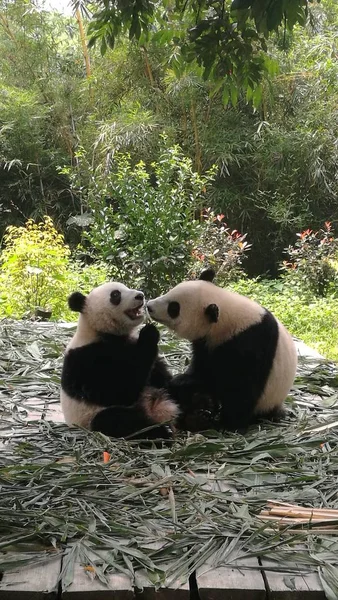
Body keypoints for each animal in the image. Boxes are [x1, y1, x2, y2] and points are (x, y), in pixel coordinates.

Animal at [60, 282, 180, 440]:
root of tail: (153, 408)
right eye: (115, 295)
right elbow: (120, 390)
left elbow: (160, 376)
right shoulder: (86, 359)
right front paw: (149, 332)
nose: (140, 295)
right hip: (90, 416)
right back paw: (163, 431)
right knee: (115, 420)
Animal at [147, 270, 298, 434]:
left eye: (174, 308)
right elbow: (202, 367)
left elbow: (241, 385)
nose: (149, 306)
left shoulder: (251, 342)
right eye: (171, 290)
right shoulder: (207, 343)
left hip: (269, 396)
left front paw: (229, 423)